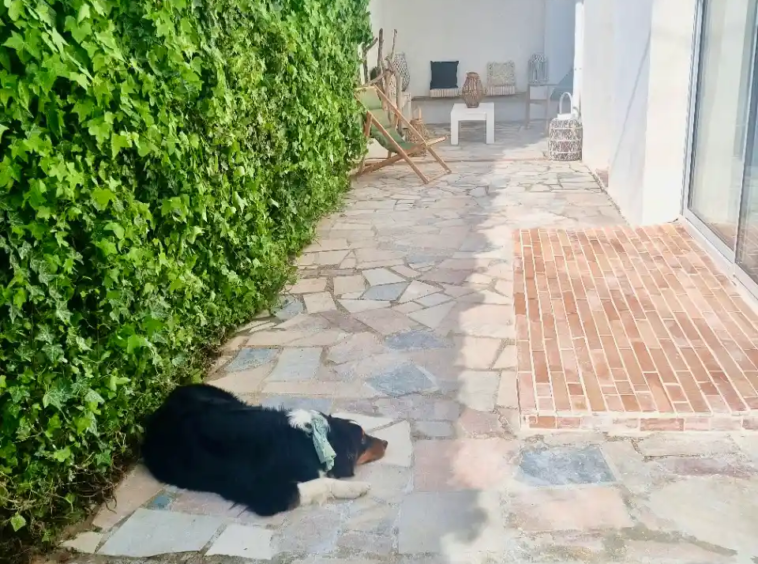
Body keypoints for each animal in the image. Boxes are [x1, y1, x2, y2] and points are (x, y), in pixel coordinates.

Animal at [142, 384, 388, 516]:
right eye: (363, 438)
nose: (386, 443)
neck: (307, 442)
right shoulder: (269, 493)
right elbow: (323, 482)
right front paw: (356, 487)